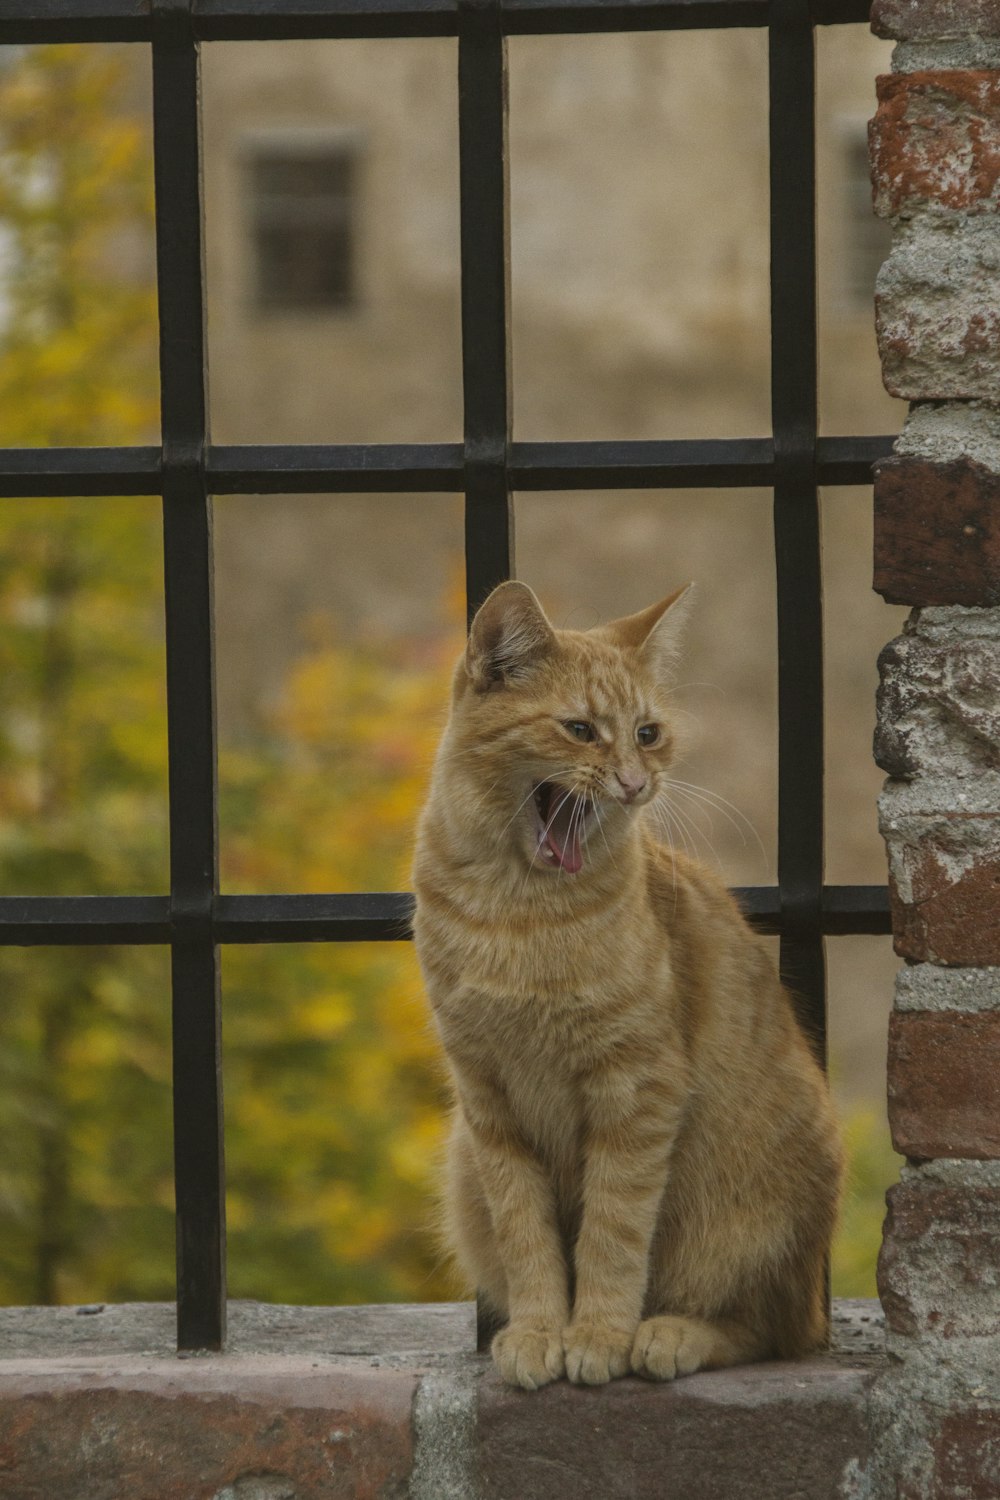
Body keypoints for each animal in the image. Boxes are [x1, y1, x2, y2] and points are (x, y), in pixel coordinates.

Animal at [410, 582, 839, 1392]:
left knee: (770, 1329)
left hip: (743, 1219)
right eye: (579, 730)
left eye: (648, 733)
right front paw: (540, 1331)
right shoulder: (489, 1104)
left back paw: (669, 1334)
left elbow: (612, 1234)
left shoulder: (636, 1090)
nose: (638, 784)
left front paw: (599, 1336)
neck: (519, 912)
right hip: (462, 1170)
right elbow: (528, 1238)